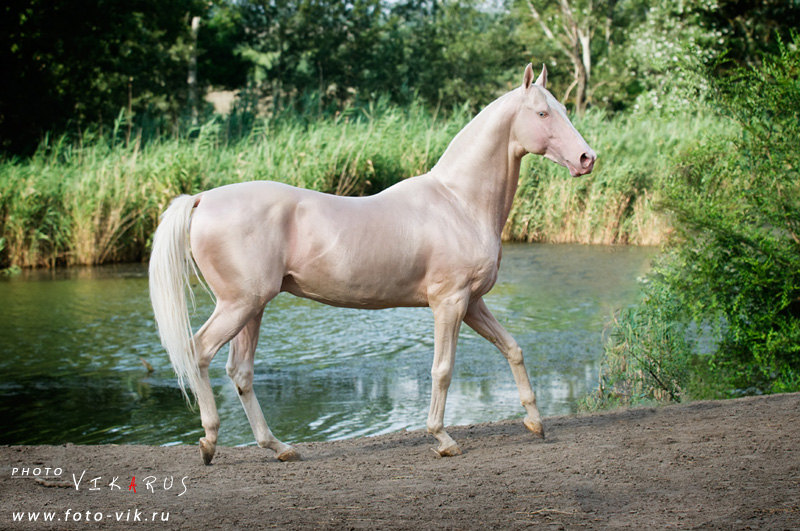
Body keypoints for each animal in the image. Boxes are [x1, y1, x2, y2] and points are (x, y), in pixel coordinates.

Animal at [150, 63, 596, 466]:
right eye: (543, 113)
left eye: (562, 109)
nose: (586, 158)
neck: (458, 202)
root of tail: (202, 199)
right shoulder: (449, 303)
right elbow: (442, 369)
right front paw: (443, 439)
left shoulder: (473, 303)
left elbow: (513, 349)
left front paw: (536, 423)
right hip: (238, 305)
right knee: (198, 352)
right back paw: (209, 442)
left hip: (252, 308)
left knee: (240, 372)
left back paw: (279, 448)